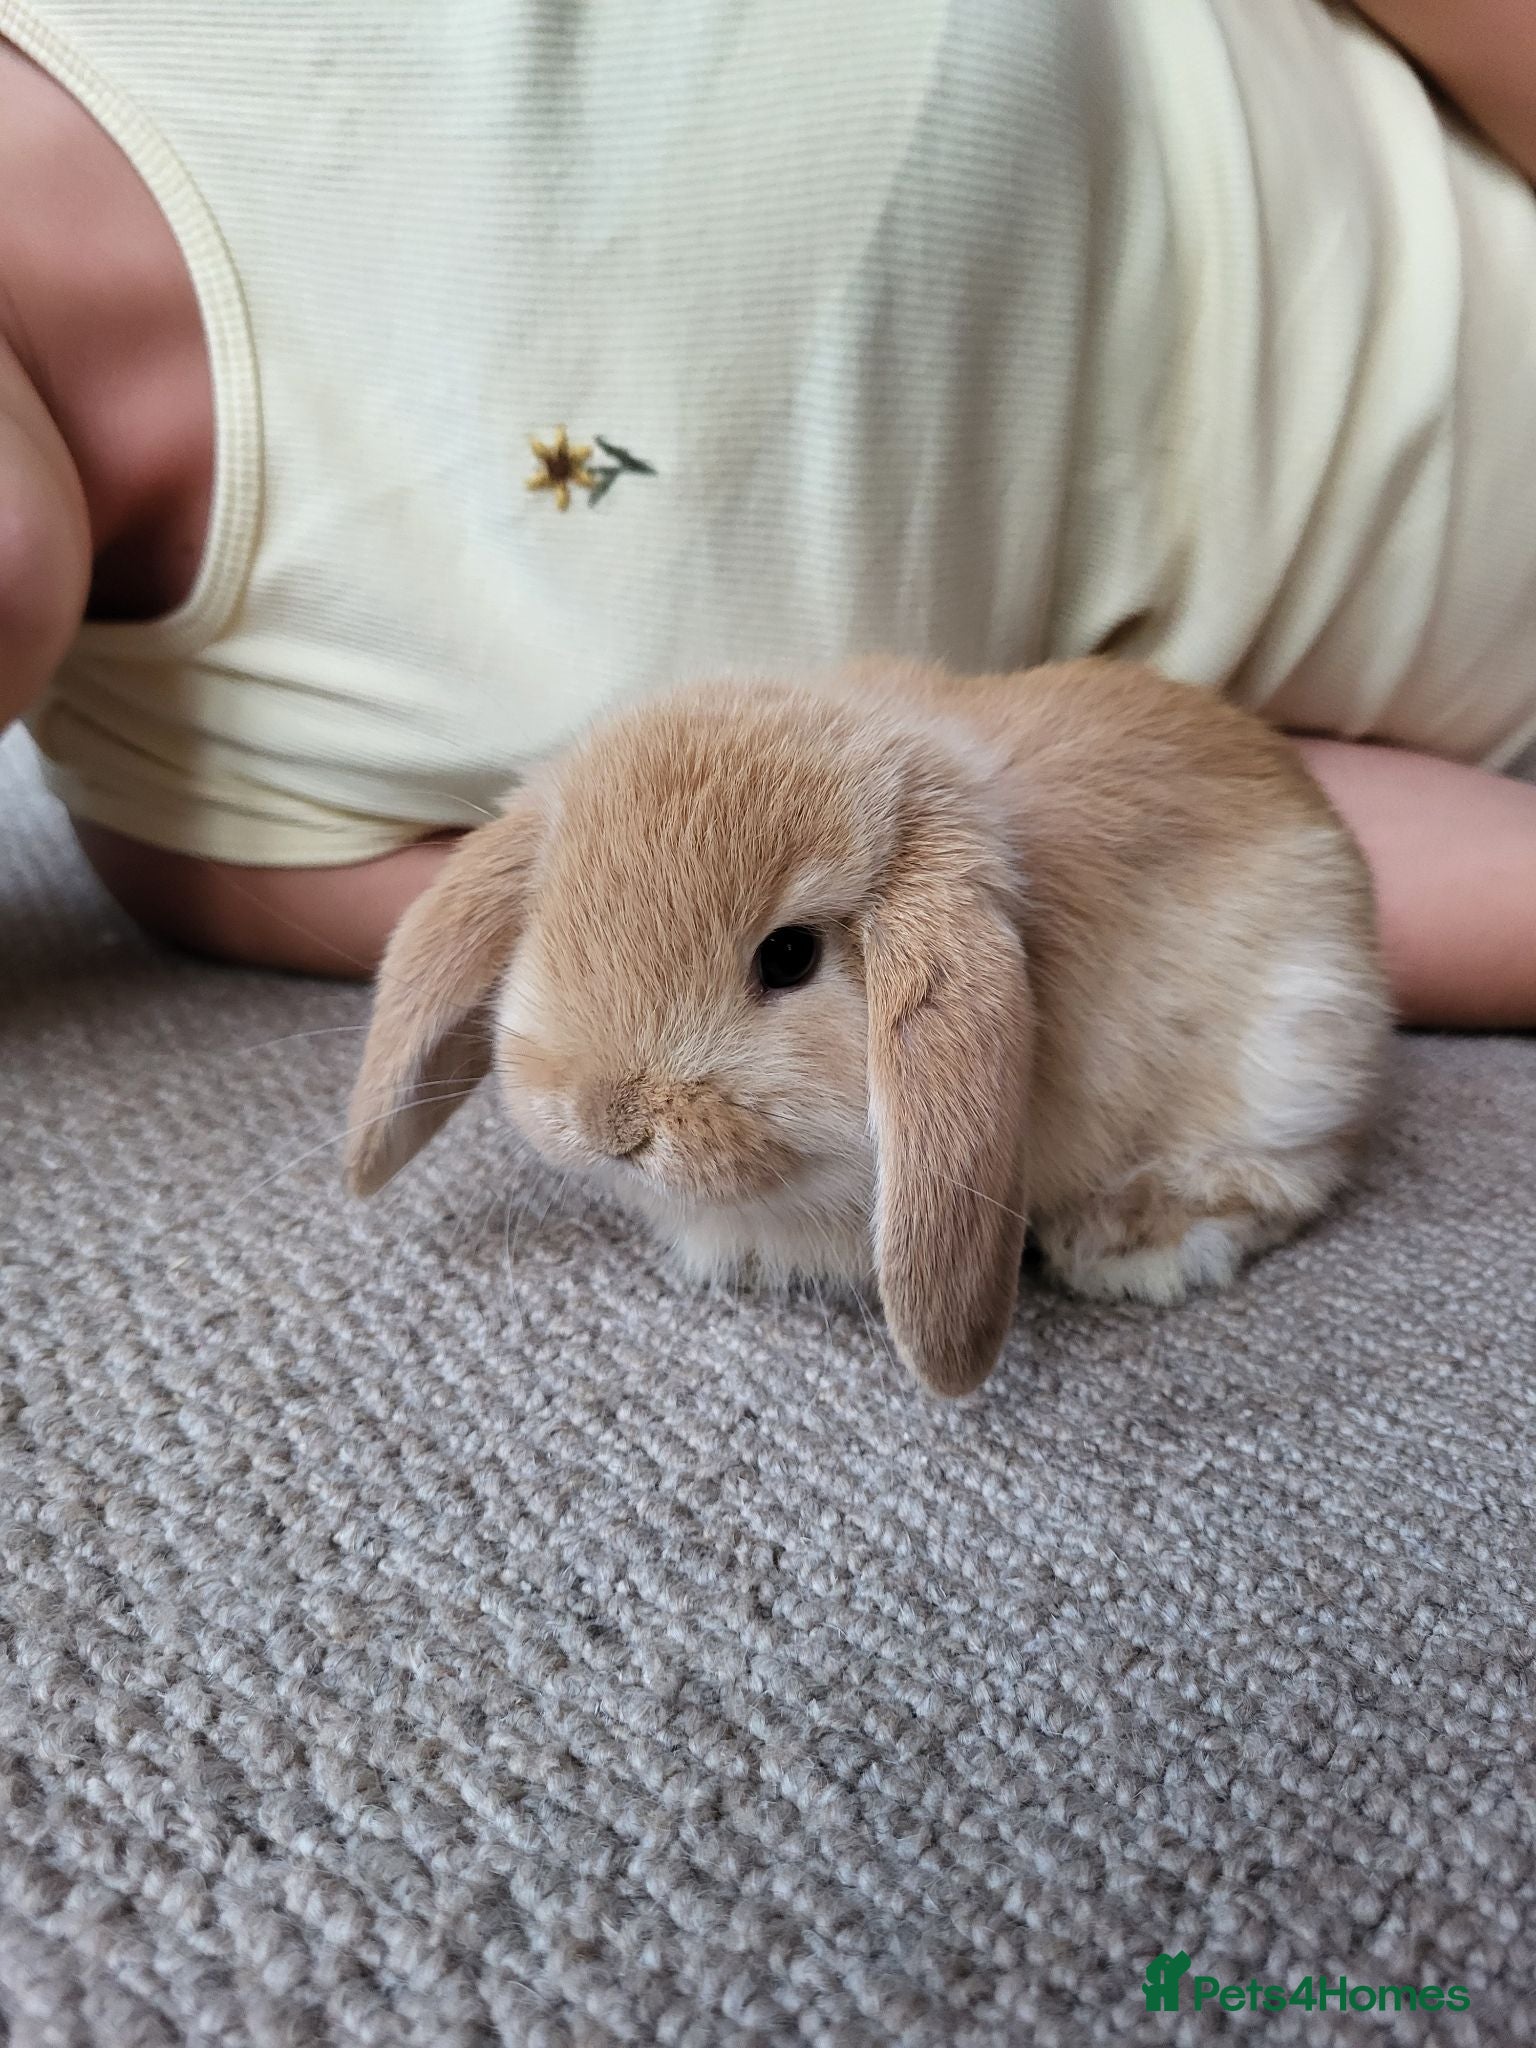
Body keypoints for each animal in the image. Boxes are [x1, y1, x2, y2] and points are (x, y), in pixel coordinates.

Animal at [344, 657, 1392, 1396]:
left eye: (789, 956)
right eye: (547, 918)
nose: (608, 1123)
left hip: (1295, 1049)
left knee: (1291, 1174)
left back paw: (1132, 1247)